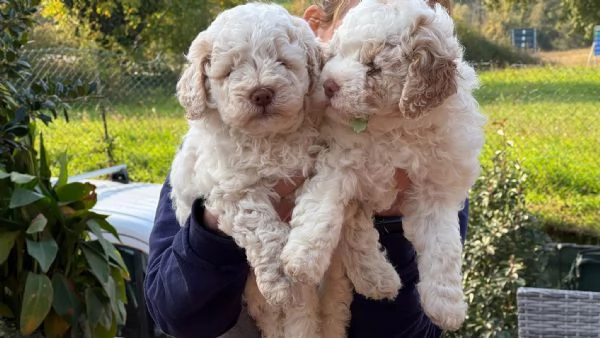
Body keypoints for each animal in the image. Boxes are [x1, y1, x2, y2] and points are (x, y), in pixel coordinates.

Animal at [169, 3, 324, 338]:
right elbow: (264, 230)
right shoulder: (233, 188)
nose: (261, 93)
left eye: (283, 62)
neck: (268, 139)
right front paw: (279, 280)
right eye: (229, 71)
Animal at [284, 0, 486, 332]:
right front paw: (302, 258)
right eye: (335, 52)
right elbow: (321, 208)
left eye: (374, 66)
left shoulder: (436, 188)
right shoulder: (339, 161)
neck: (394, 128)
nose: (328, 85)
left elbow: (444, 246)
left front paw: (447, 305)